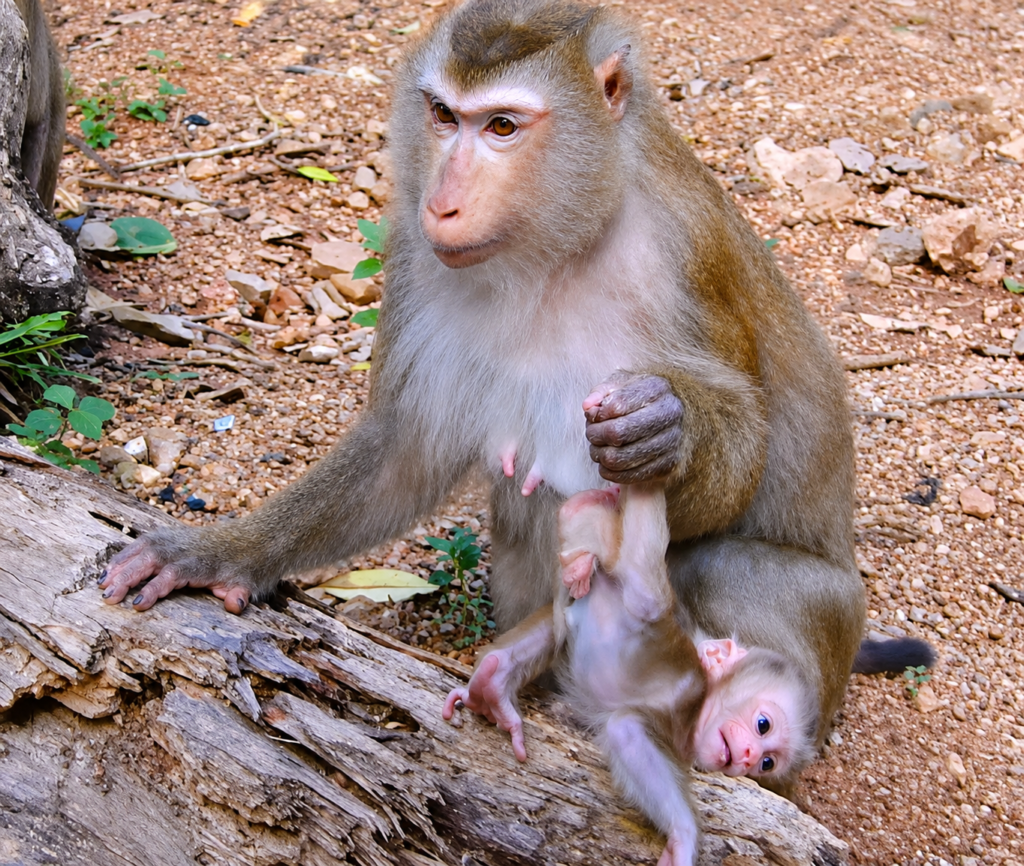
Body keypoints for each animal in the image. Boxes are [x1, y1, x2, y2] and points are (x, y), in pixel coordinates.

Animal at [100, 0, 910, 773]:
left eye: (502, 126)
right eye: (442, 116)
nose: (444, 202)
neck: (558, 243)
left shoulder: (686, 251)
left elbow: (738, 462)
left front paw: (663, 429)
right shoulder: (414, 253)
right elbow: (405, 450)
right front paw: (225, 552)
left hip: (823, 616)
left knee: (721, 570)